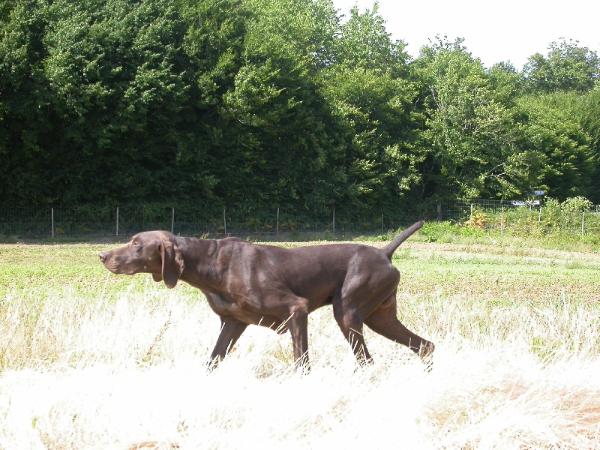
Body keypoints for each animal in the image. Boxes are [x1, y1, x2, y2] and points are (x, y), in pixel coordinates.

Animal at [101, 221, 434, 370]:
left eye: (136, 245)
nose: (102, 255)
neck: (213, 264)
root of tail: (383, 252)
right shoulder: (232, 324)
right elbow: (212, 361)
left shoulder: (296, 310)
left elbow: (301, 363)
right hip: (379, 317)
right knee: (425, 346)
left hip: (348, 313)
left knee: (367, 360)